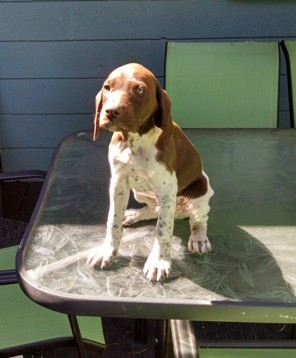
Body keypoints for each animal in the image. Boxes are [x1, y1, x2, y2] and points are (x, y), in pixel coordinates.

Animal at [86, 64, 214, 282]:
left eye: (139, 90)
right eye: (107, 88)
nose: (110, 111)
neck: (134, 141)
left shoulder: (167, 190)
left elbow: (162, 231)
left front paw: (158, 262)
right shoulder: (118, 183)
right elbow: (113, 221)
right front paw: (107, 251)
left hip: (201, 192)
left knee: (199, 219)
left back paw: (198, 238)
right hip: (141, 194)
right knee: (152, 209)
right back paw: (133, 215)